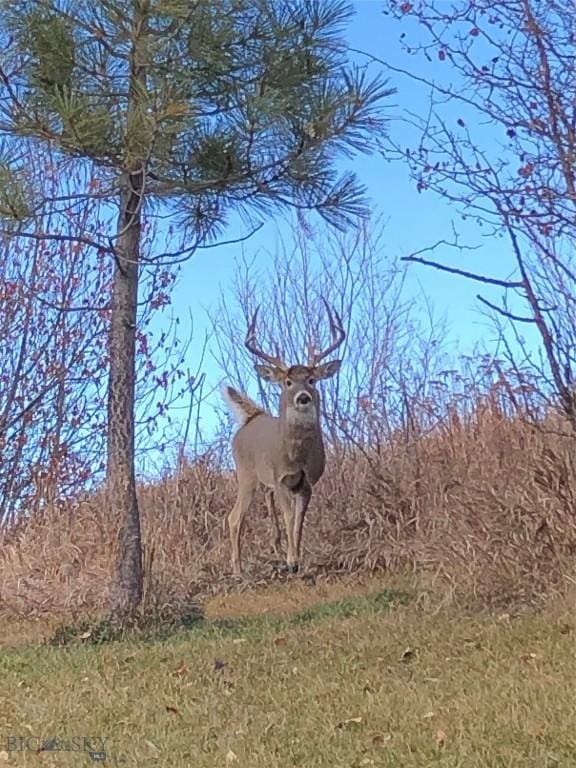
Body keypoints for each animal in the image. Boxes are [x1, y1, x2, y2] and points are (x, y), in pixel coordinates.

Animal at [222, 300, 346, 576]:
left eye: (311, 380)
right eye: (288, 382)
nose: (303, 397)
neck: (296, 455)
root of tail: (251, 419)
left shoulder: (307, 482)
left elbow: (299, 519)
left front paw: (296, 559)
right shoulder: (280, 478)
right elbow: (290, 516)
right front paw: (291, 562)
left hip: (261, 482)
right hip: (246, 473)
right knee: (234, 517)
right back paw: (237, 569)